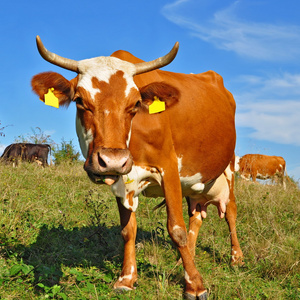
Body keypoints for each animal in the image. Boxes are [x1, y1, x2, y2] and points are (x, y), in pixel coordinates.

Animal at [31, 35, 243, 300]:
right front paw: (127, 278)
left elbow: (176, 229)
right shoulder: (120, 180)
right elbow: (128, 230)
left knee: (231, 211)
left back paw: (235, 258)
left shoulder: (168, 168)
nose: (112, 159)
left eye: (135, 104)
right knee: (196, 215)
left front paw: (195, 286)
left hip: (229, 165)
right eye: (80, 101)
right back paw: (185, 259)